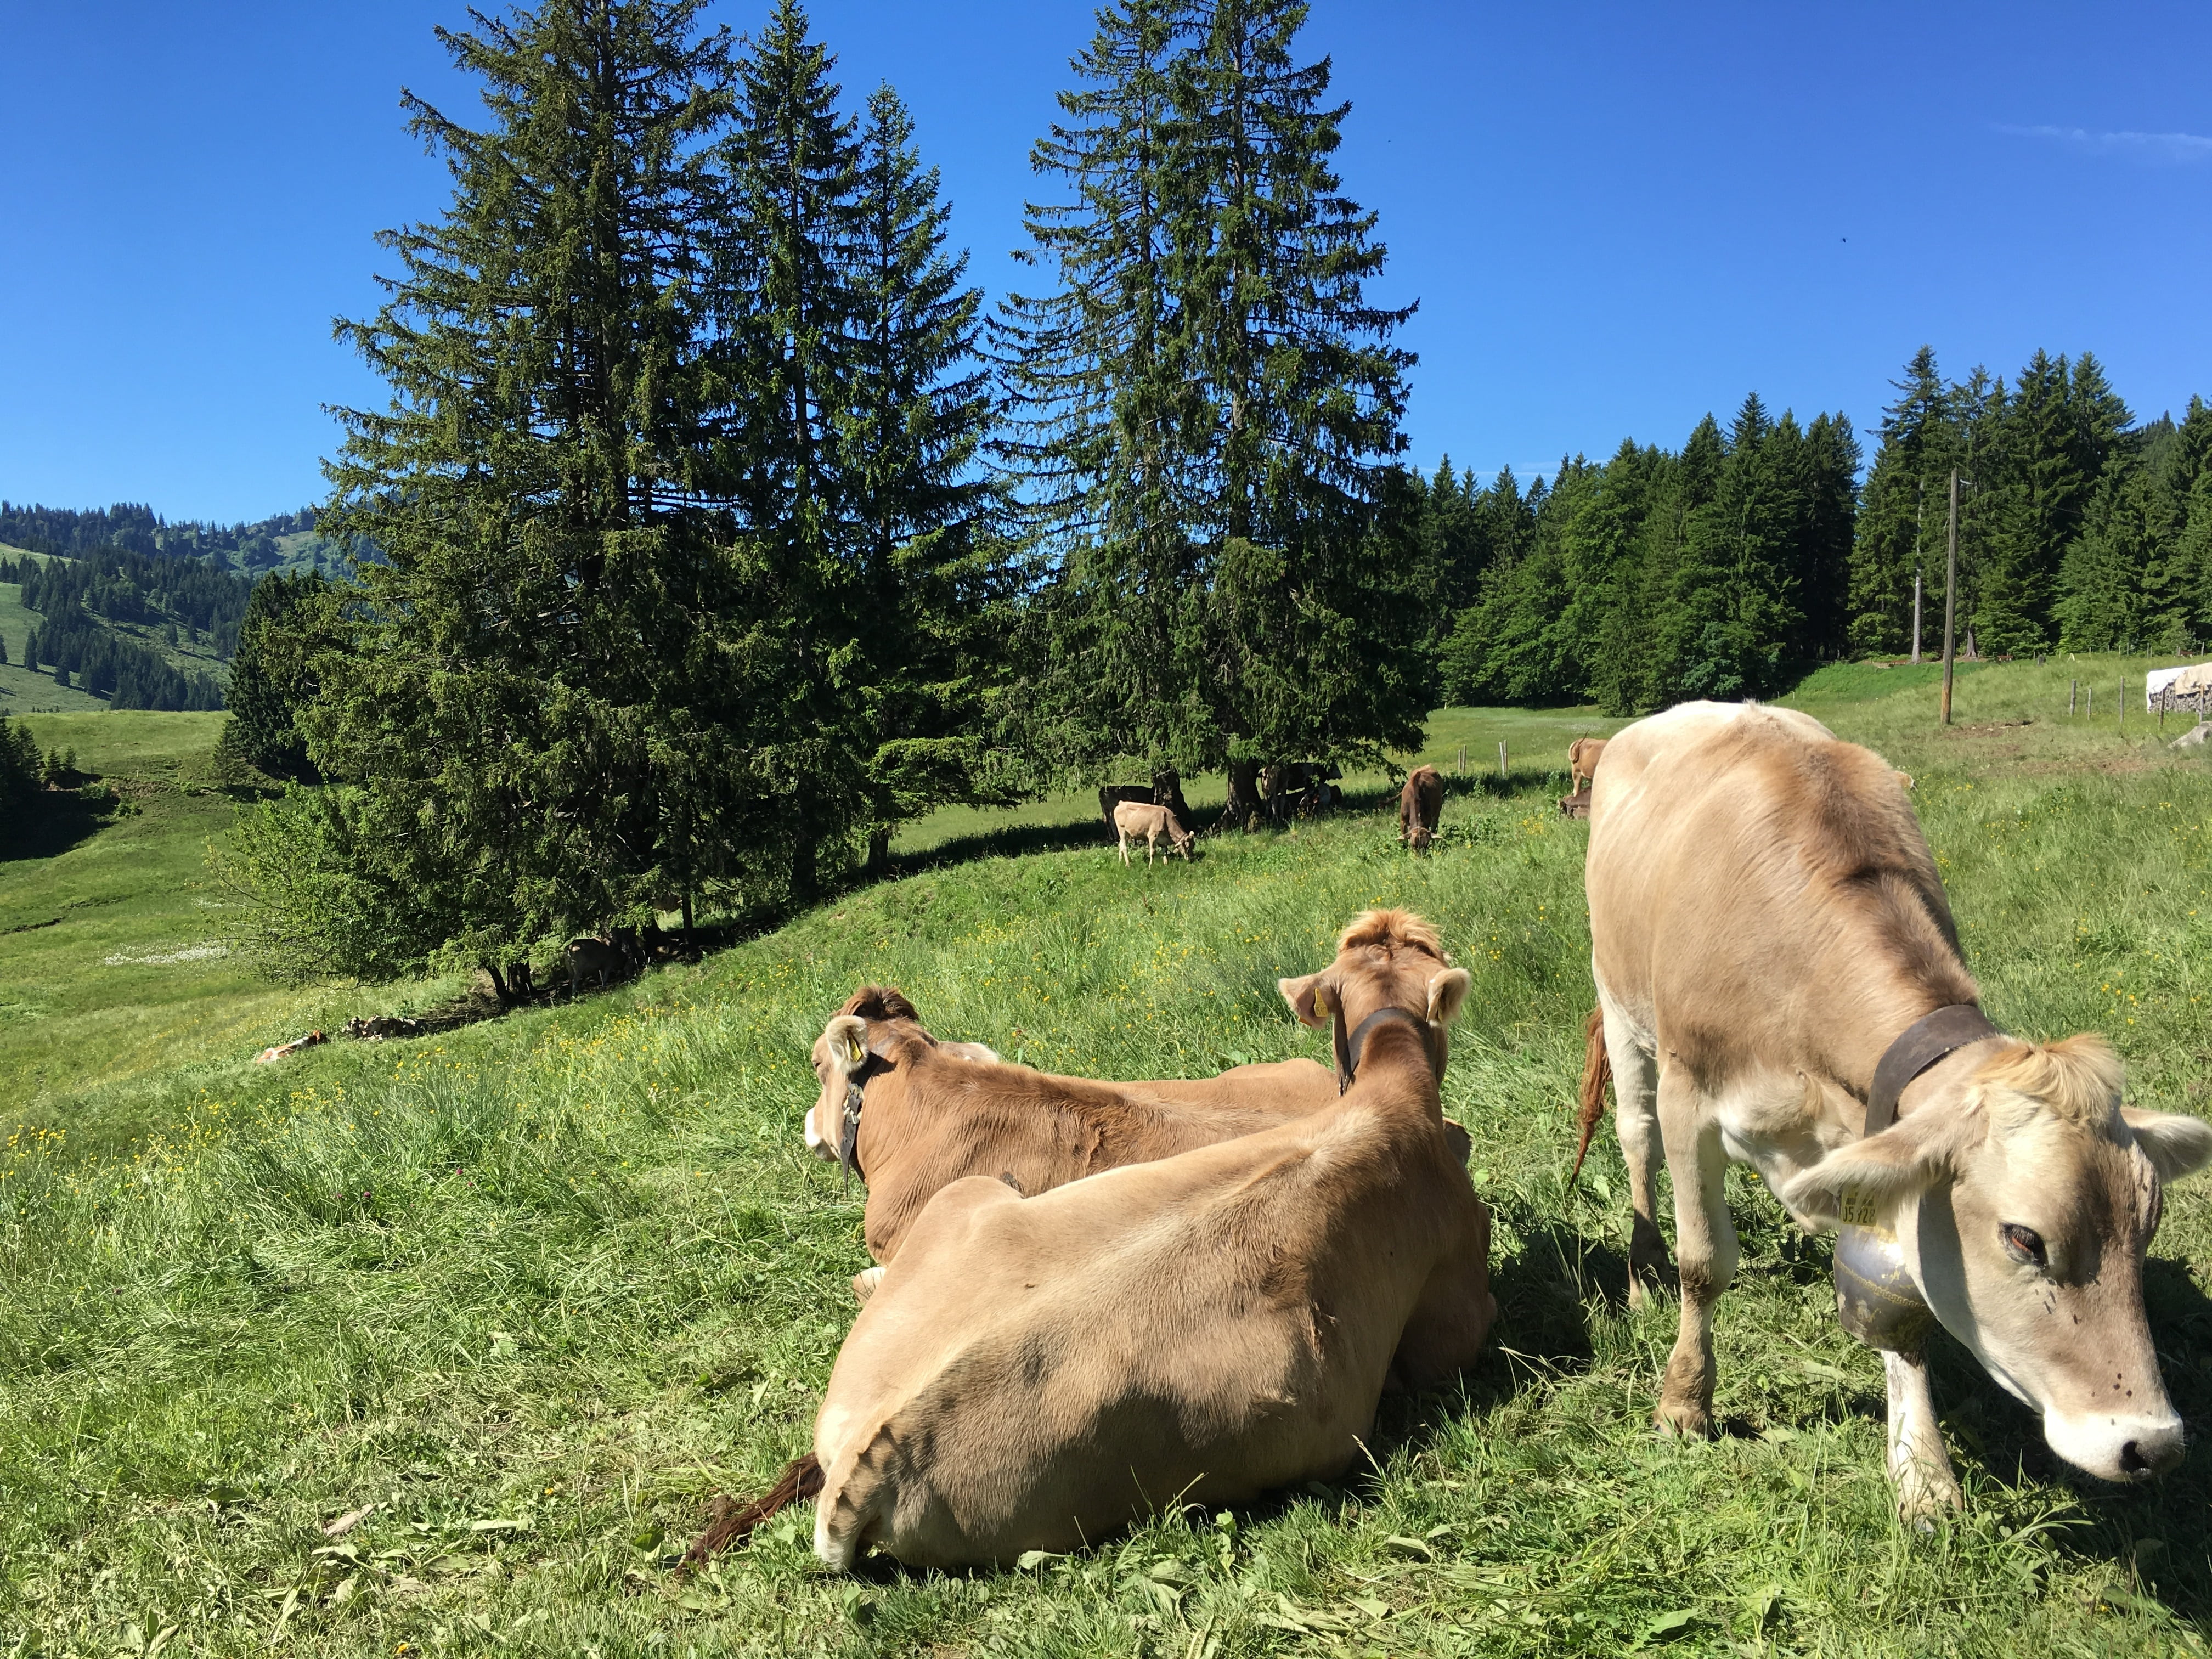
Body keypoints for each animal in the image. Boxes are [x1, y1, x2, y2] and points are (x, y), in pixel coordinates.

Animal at [1112, 799, 1193, 864]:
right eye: (1187, 847)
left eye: (1193, 846)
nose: (1190, 860)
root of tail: (1122, 803)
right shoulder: (1152, 836)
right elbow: (1153, 853)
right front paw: (1151, 866)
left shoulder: (1163, 840)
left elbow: (1165, 852)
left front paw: (1166, 864)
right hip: (1122, 831)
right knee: (1124, 847)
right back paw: (1128, 864)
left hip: (1128, 833)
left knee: (1121, 845)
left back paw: (1120, 862)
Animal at [1400, 764, 1443, 851]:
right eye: (1413, 845)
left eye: (1426, 844)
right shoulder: (1403, 819)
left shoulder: (1427, 820)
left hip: (1438, 810)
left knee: (1434, 827)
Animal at [1579, 700, 2212, 1520]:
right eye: (2024, 1239)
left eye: (2150, 1228)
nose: (2152, 1444)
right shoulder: (1691, 1095)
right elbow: (1705, 1264)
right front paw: (1685, 1401)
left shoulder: (1882, 1134)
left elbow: (1899, 1302)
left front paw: (1921, 1471)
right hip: (1619, 1002)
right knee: (1636, 1139)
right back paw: (1641, 1269)